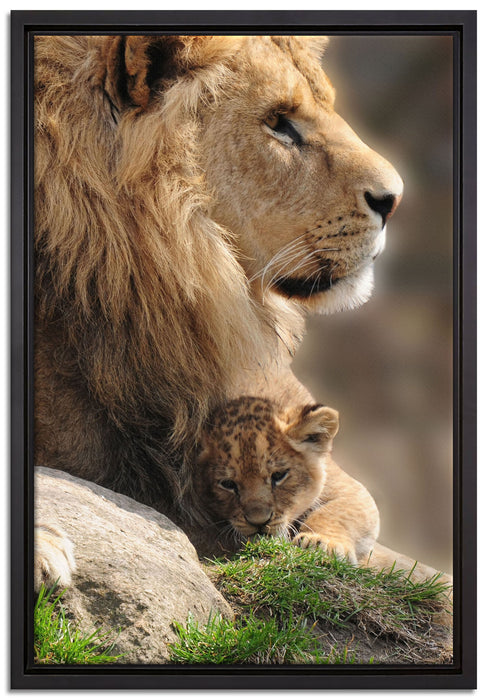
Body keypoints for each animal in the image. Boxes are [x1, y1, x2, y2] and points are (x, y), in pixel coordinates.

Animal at [194, 396, 379, 564]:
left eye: (278, 475)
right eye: (228, 484)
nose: (259, 522)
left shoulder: (350, 489)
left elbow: (334, 512)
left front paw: (320, 543)